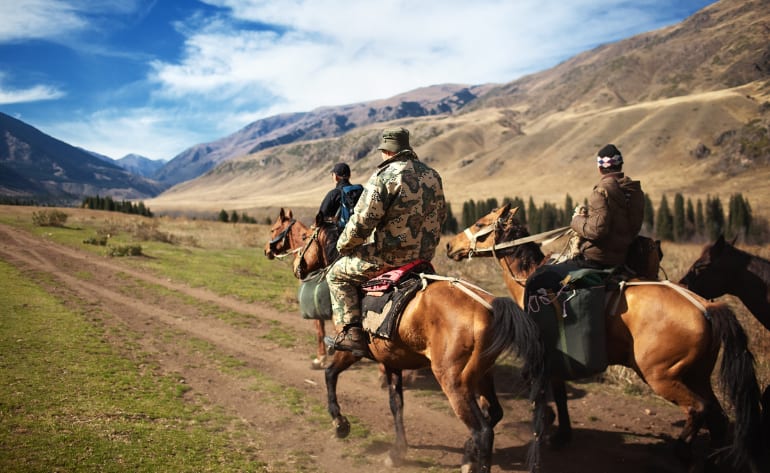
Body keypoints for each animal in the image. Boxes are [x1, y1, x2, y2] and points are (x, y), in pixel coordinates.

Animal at [288, 218, 544, 472]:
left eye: (305, 237)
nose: (296, 265)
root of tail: (492, 308)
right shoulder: (390, 361)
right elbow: (396, 404)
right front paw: (397, 451)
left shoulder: (351, 350)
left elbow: (330, 375)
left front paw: (340, 423)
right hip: (481, 374)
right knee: (494, 413)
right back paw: (468, 453)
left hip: (454, 381)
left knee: (482, 431)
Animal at [444, 204, 760, 472]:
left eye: (480, 223)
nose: (450, 246)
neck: (529, 276)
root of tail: (707, 308)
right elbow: (560, 394)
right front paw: (562, 433)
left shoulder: (546, 355)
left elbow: (552, 393)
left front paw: (552, 429)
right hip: (698, 375)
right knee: (718, 420)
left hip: (662, 376)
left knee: (698, 409)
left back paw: (683, 452)